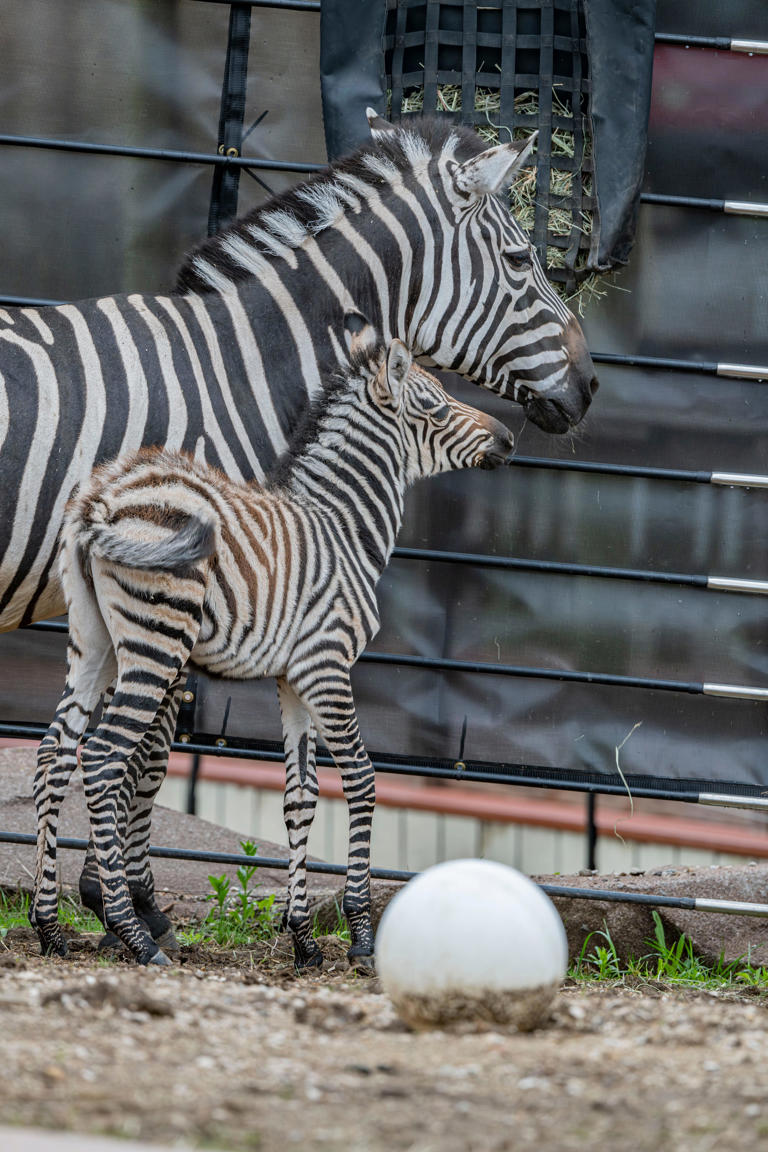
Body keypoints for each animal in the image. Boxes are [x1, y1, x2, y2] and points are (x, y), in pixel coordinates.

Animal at [30, 319, 514, 968]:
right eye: (435, 407)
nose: (509, 438)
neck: (342, 525)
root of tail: (101, 498)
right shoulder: (328, 667)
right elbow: (361, 779)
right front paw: (360, 935)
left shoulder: (293, 679)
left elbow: (300, 796)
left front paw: (303, 937)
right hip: (156, 642)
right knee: (104, 758)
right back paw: (135, 935)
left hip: (94, 642)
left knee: (53, 757)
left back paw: (49, 928)